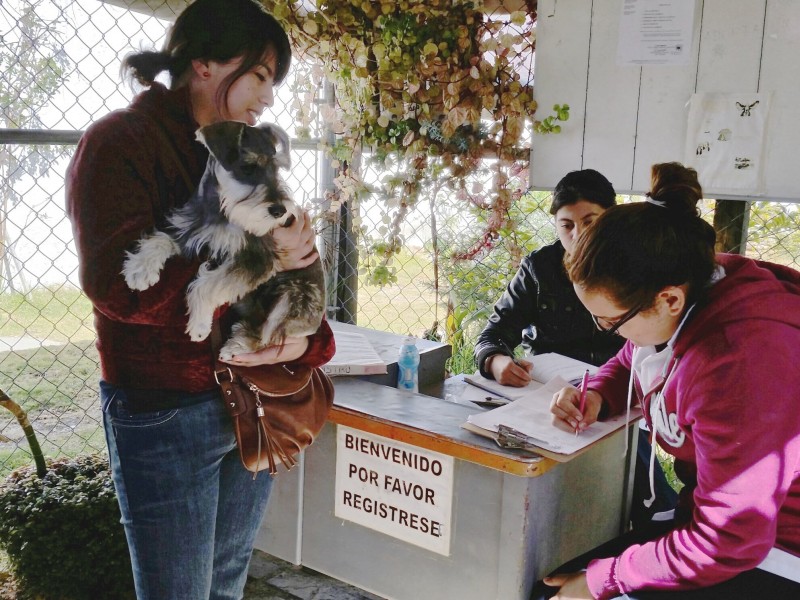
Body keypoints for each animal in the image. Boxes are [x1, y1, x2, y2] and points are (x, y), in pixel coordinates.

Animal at [122, 119, 324, 358]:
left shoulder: (257, 259)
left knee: (267, 336)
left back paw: (236, 346)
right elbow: (159, 240)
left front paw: (199, 325)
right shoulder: (187, 233)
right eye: (248, 167)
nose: (280, 211)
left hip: (292, 300)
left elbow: (207, 285)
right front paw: (140, 270)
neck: (220, 210)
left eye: (276, 169)